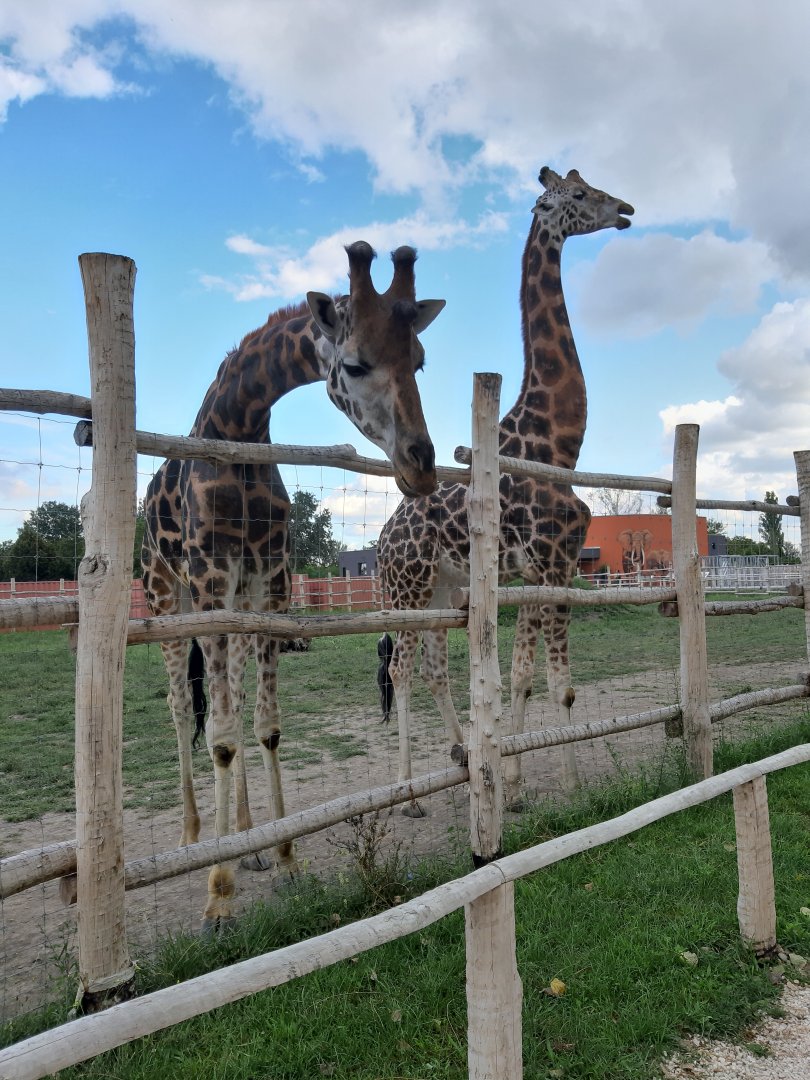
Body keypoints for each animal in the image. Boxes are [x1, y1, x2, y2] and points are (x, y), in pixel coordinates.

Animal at [142, 241, 444, 929]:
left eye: (419, 359)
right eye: (354, 363)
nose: (421, 466)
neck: (239, 426)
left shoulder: (267, 585)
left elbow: (265, 726)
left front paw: (282, 857)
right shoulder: (211, 581)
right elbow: (222, 736)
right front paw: (218, 897)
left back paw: (246, 842)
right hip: (165, 594)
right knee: (181, 707)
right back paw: (194, 840)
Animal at [377, 167, 634, 810]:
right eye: (578, 195)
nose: (624, 208)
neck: (558, 445)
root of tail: (383, 541)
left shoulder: (534, 570)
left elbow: (521, 675)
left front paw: (513, 780)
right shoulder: (553, 561)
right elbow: (557, 682)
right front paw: (568, 784)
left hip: (443, 588)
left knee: (433, 669)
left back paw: (459, 752)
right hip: (407, 589)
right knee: (400, 670)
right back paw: (409, 793)